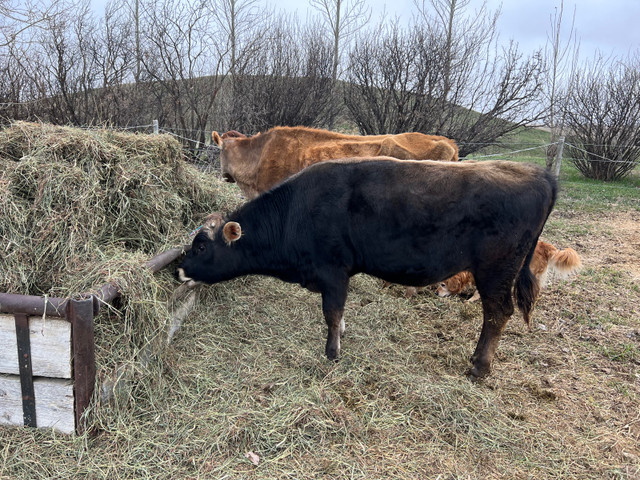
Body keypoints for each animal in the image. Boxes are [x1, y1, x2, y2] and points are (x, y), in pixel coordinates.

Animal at [178, 159, 556, 376]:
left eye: (201, 246)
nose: (178, 270)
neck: (296, 212)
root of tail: (539, 174)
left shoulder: (332, 272)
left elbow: (331, 313)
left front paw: (332, 353)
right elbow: (340, 314)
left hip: (495, 271)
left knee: (497, 314)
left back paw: (479, 366)